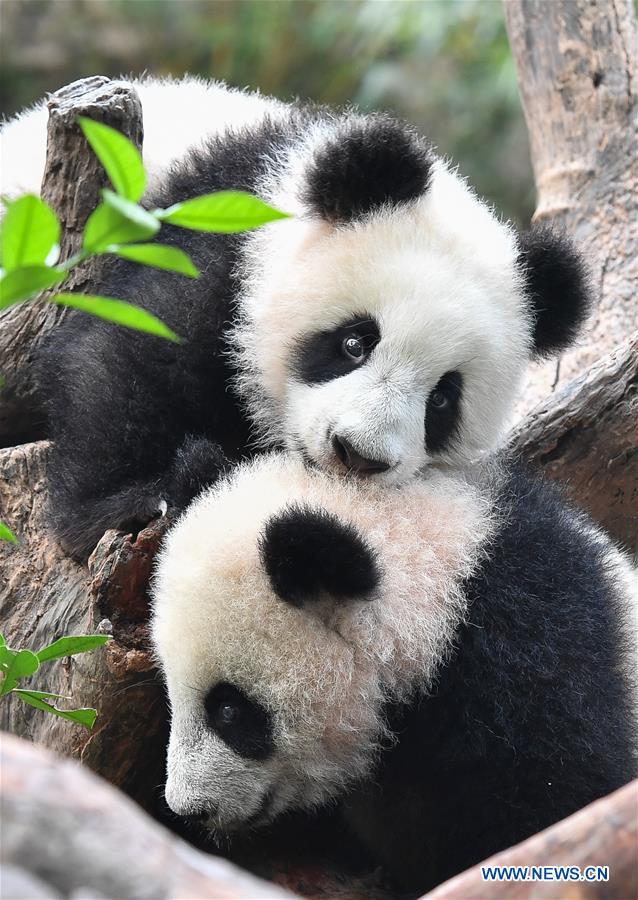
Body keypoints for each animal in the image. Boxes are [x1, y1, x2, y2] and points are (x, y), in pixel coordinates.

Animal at [1, 75, 589, 558]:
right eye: (355, 342)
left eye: (443, 399)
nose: (357, 455)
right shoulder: (207, 242)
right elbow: (122, 365)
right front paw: (135, 502)